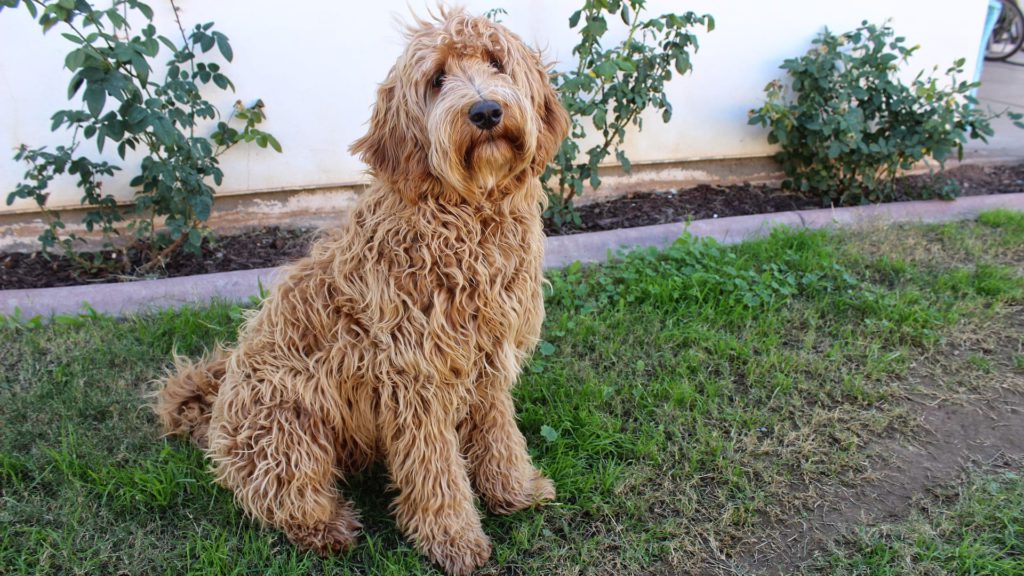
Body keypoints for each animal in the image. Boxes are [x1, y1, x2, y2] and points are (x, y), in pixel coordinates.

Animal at [153, 6, 569, 569]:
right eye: (437, 79)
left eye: (496, 62)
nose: (485, 111)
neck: (463, 214)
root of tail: (214, 412)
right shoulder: (416, 380)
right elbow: (435, 470)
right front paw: (454, 539)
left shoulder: (487, 361)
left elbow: (499, 433)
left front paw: (515, 490)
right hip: (288, 430)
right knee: (277, 495)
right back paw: (328, 527)